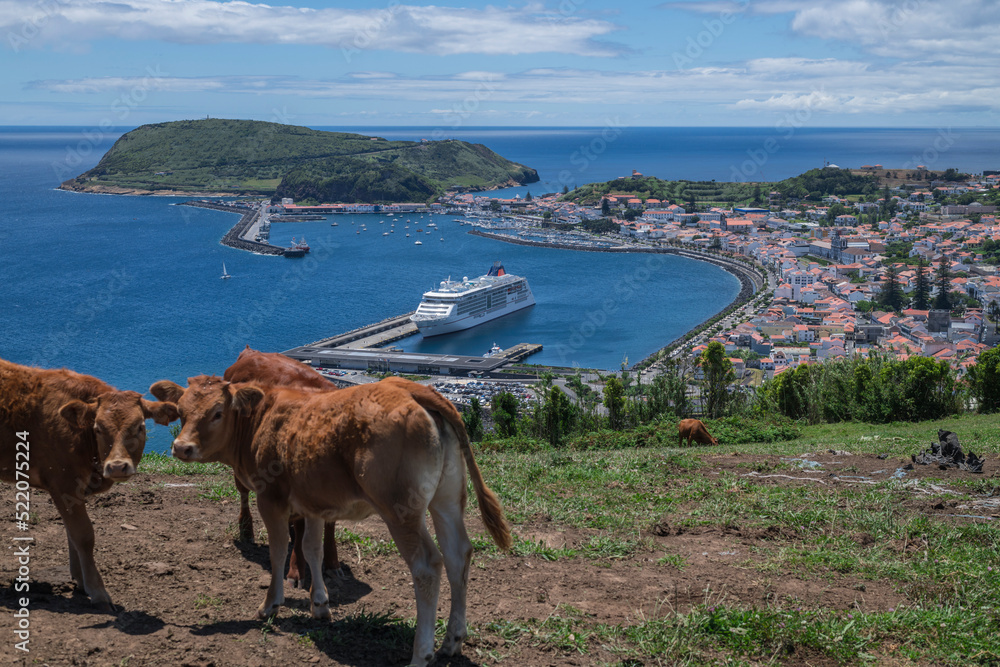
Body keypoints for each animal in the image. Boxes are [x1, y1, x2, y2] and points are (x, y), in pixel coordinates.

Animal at [0, 360, 177, 612]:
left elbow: (71, 534)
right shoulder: (63, 484)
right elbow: (83, 535)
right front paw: (97, 591)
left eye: (140, 427)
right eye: (98, 428)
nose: (117, 466)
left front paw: (80, 579)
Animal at [152, 376, 512, 667]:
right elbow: (312, 548)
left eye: (217, 412)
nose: (181, 447)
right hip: (447, 498)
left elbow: (279, 550)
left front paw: (270, 605)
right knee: (457, 554)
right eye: (181, 411)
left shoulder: (271, 498)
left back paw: (421, 654)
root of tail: (411, 388)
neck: (261, 419)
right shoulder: (313, 504)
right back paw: (451, 642)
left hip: (400, 509)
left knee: (427, 564)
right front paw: (320, 605)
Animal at [223, 348, 340, 588]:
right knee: (243, 493)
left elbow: (329, 523)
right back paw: (246, 529)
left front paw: (332, 563)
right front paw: (296, 571)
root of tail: (249, 353)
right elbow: (301, 524)